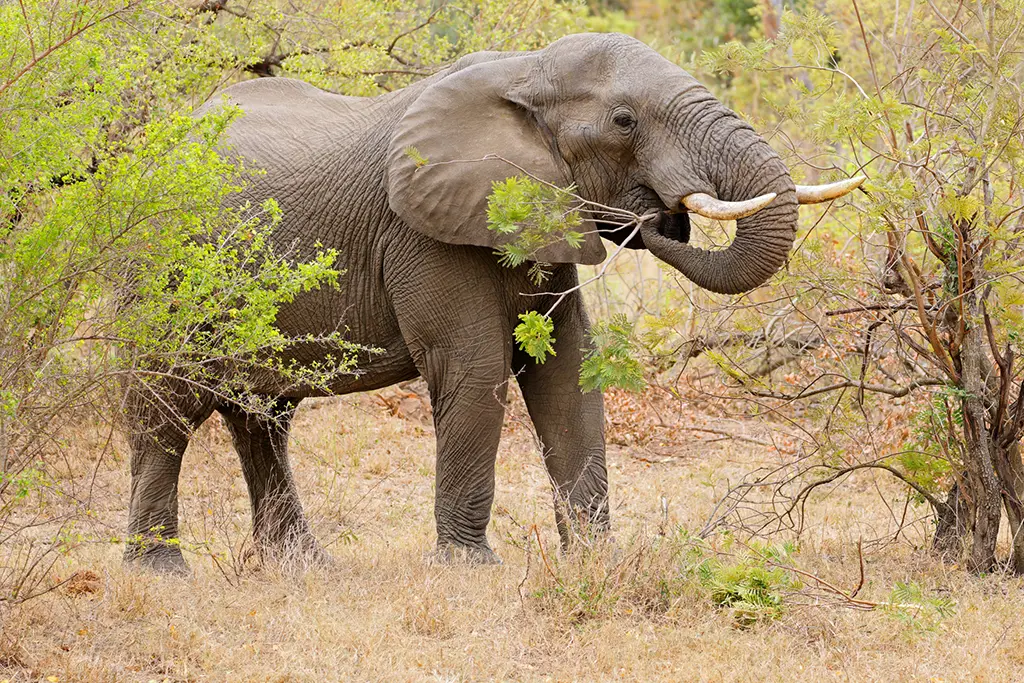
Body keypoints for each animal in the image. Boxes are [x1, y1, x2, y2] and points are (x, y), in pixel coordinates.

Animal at [123, 32, 863, 572]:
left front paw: (594, 562)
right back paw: (162, 570)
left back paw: (306, 569)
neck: (525, 71)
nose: (656, 215)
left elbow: (568, 372)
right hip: (162, 273)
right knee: (166, 407)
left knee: (262, 415)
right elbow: (476, 370)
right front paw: (471, 568)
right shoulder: (425, 230)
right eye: (624, 120)